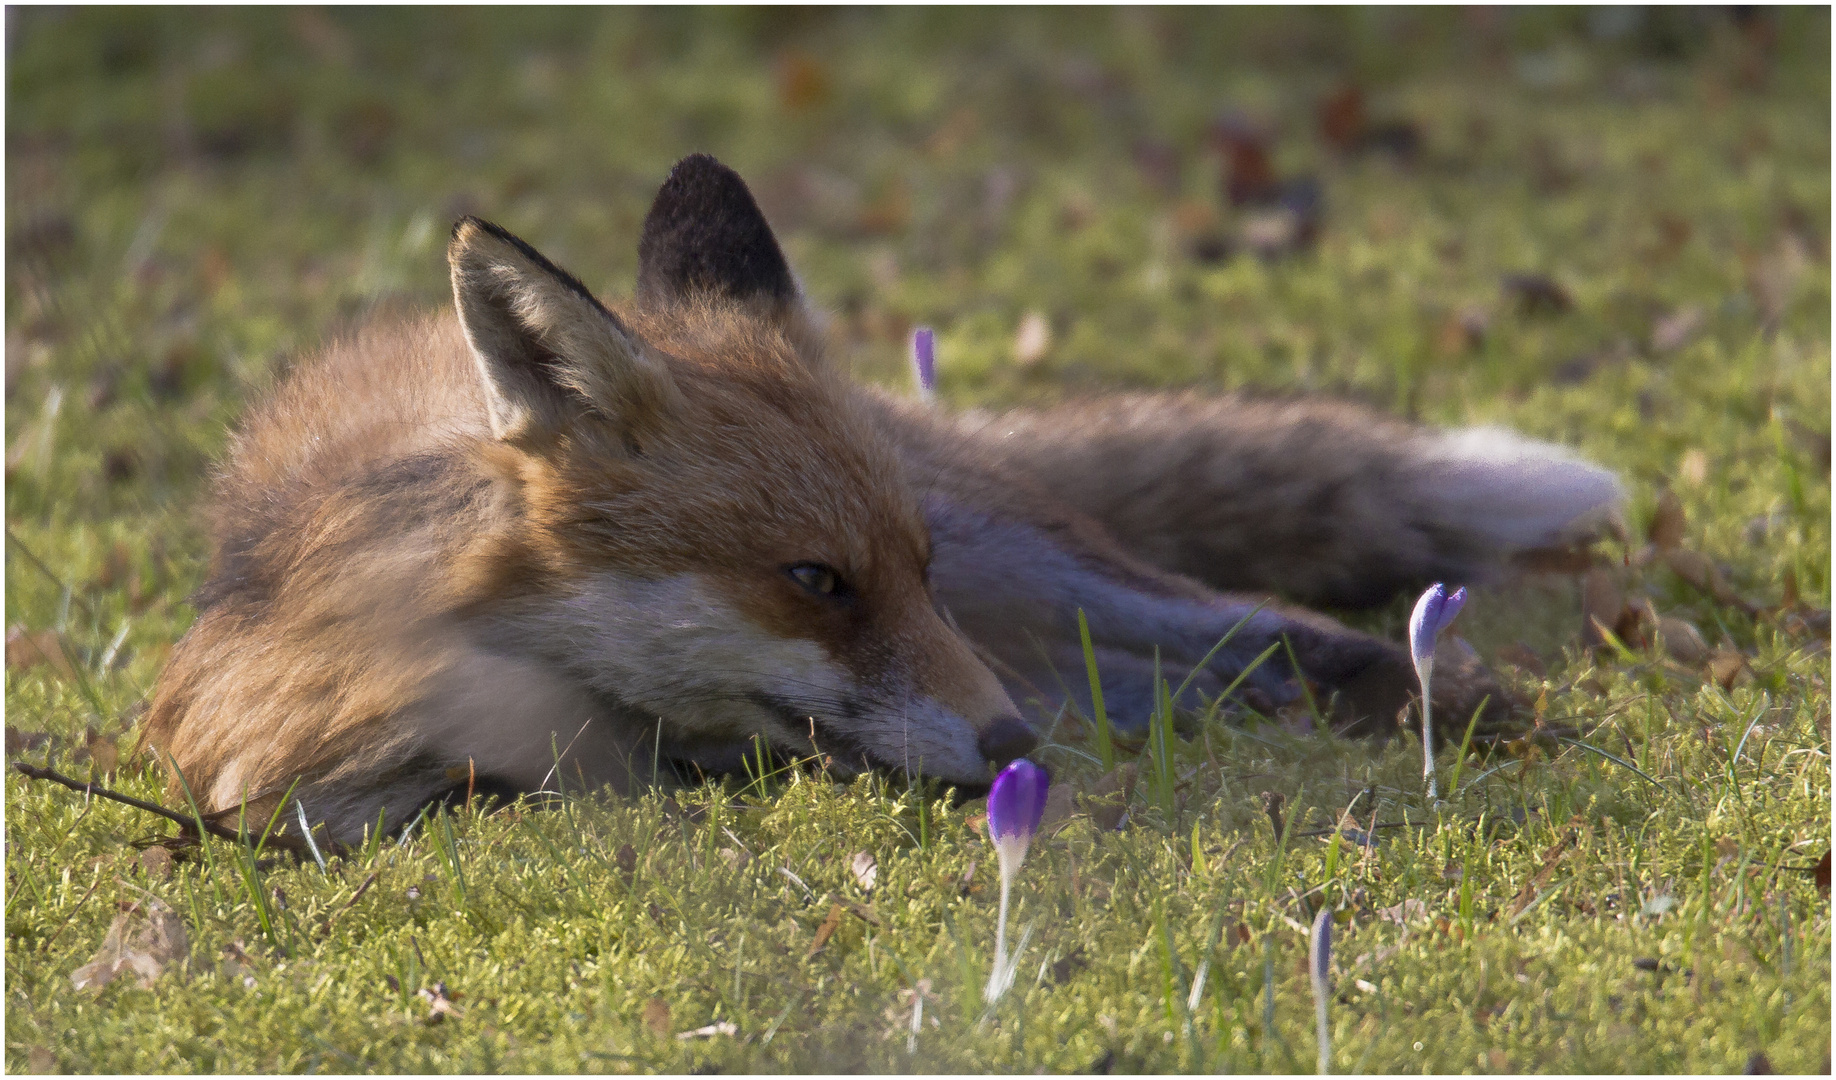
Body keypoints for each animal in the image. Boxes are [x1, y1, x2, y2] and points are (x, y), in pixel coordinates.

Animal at [139, 151, 1623, 844]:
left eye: (909, 569)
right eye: (814, 580)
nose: (1017, 750)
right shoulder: (260, 762)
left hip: (1050, 574)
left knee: (1265, 629)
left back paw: (1452, 697)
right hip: (1069, 645)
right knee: (1199, 674)